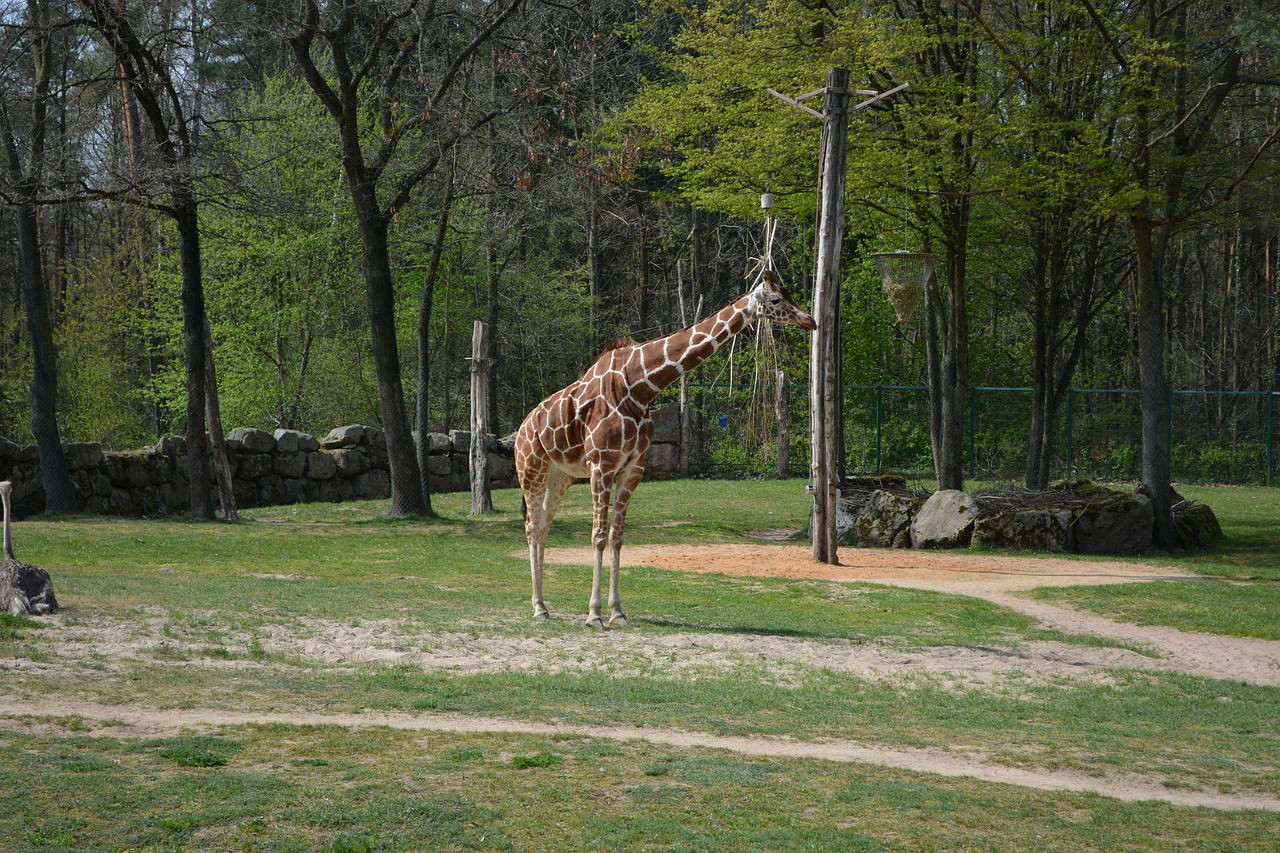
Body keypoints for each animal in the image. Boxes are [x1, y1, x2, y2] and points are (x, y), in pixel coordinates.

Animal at [512, 268, 819, 627]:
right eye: (775, 298)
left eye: (788, 292)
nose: (810, 320)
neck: (639, 386)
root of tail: (521, 429)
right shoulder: (602, 464)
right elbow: (598, 536)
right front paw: (594, 615)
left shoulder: (632, 468)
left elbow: (616, 536)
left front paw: (617, 612)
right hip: (531, 469)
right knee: (531, 527)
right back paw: (537, 606)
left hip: (560, 476)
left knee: (543, 528)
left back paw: (545, 605)